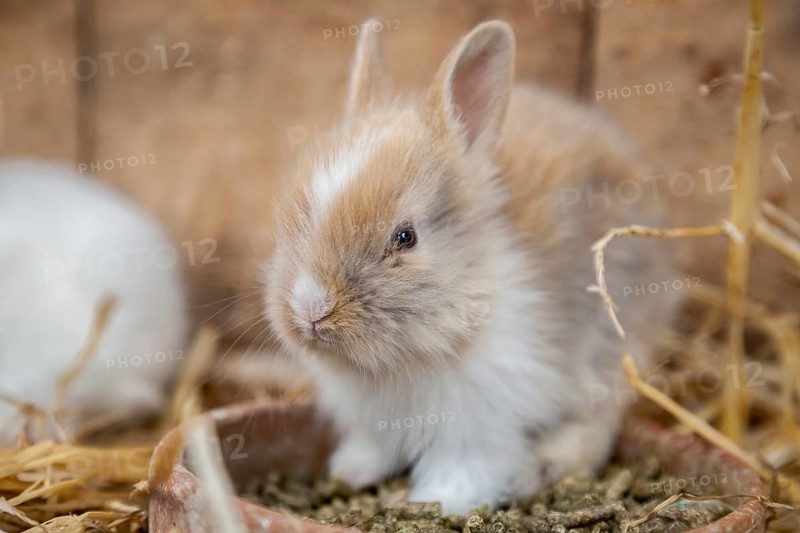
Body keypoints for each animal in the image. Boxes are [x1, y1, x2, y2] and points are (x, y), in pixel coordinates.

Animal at [263, 20, 678, 514]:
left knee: (599, 424)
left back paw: (539, 470)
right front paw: (351, 471)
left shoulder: (480, 425)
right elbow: (375, 447)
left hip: (607, 349)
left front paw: (436, 502)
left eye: (405, 237)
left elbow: (464, 469)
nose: (311, 310)